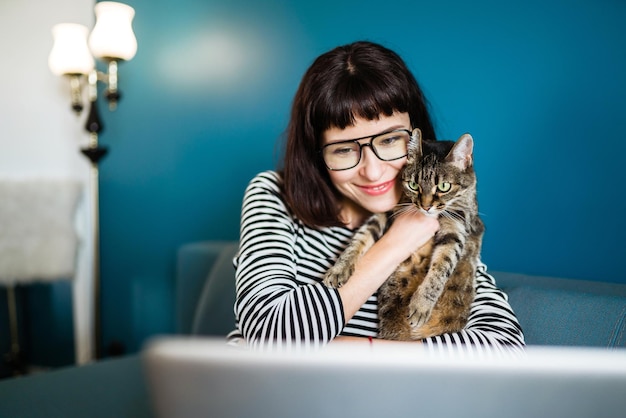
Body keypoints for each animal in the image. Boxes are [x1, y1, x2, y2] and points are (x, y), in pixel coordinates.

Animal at [322, 129, 482, 342]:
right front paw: (340, 268)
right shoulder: (386, 212)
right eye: (413, 185)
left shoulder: (456, 227)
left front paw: (421, 305)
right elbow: (360, 238)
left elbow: (442, 267)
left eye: (444, 187)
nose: (426, 206)